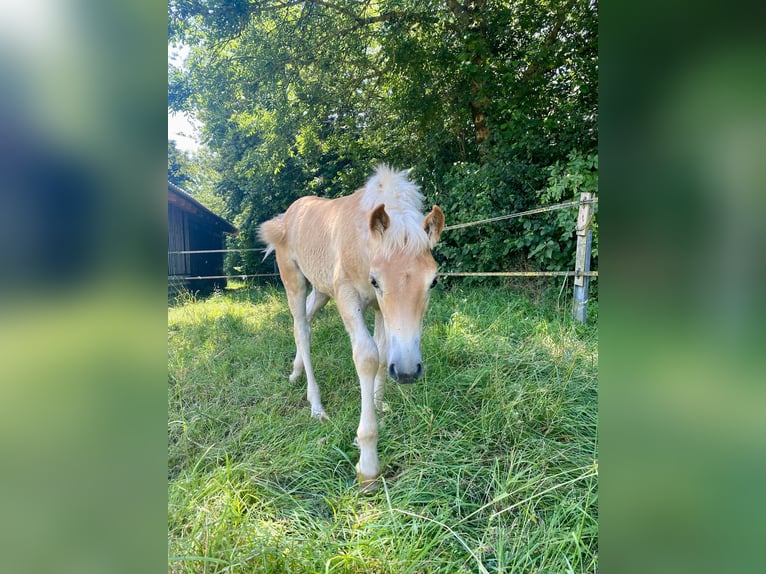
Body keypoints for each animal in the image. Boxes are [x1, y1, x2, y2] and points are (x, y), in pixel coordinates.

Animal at [260, 165, 448, 490]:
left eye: (433, 281)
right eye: (376, 281)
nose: (408, 372)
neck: (363, 246)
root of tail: (288, 214)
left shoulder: (380, 310)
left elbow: (384, 357)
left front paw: (379, 407)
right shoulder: (347, 296)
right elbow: (367, 357)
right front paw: (368, 462)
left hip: (321, 289)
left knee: (306, 319)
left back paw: (295, 373)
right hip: (294, 279)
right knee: (301, 330)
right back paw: (316, 406)